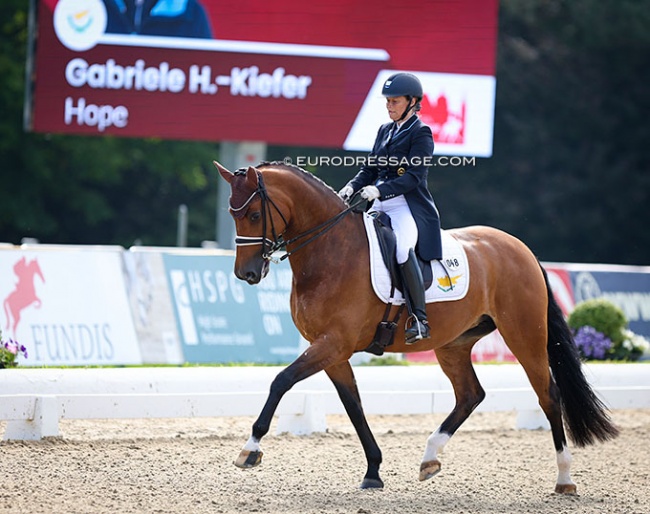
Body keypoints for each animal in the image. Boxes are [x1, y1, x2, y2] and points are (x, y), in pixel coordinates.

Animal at [214, 160, 616, 492]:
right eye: (232, 215)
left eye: (253, 213)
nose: (247, 274)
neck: (330, 250)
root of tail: (522, 249)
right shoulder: (333, 351)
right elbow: (353, 405)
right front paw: (373, 472)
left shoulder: (333, 343)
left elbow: (281, 380)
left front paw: (250, 450)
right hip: (454, 343)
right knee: (470, 394)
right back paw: (430, 458)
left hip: (524, 334)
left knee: (548, 394)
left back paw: (564, 479)